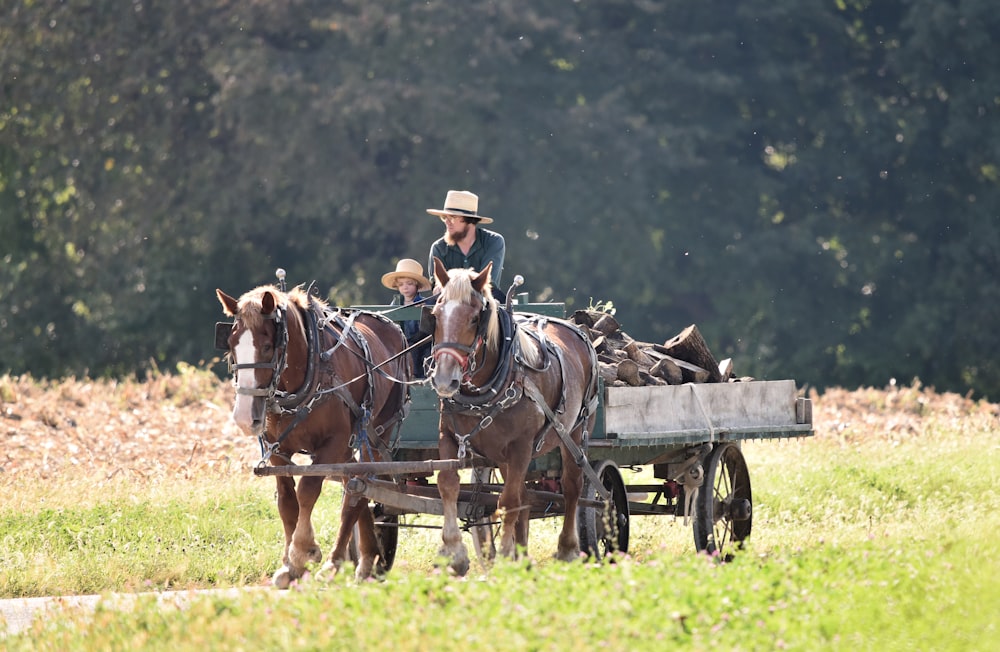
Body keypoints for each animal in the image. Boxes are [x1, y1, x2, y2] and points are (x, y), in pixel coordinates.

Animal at [216, 286, 410, 584]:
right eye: (231, 345)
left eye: (267, 346)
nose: (244, 418)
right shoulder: (278, 450)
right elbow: (287, 502)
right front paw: (287, 565)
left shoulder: (332, 443)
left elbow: (308, 491)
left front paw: (302, 552)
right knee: (356, 483)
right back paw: (367, 559)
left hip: (375, 434)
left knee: (358, 488)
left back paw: (335, 562)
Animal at [424, 258, 596, 572]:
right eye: (436, 314)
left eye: (474, 318)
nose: (444, 380)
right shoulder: (449, 437)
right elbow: (448, 485)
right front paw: (454, 552)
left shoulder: (521, 446)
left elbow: (507, 500)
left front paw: (504, 553)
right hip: (504, 456)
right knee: (525, 498)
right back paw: (523, 555)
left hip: (575, 433)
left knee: (571, 487)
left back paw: (567, 549)